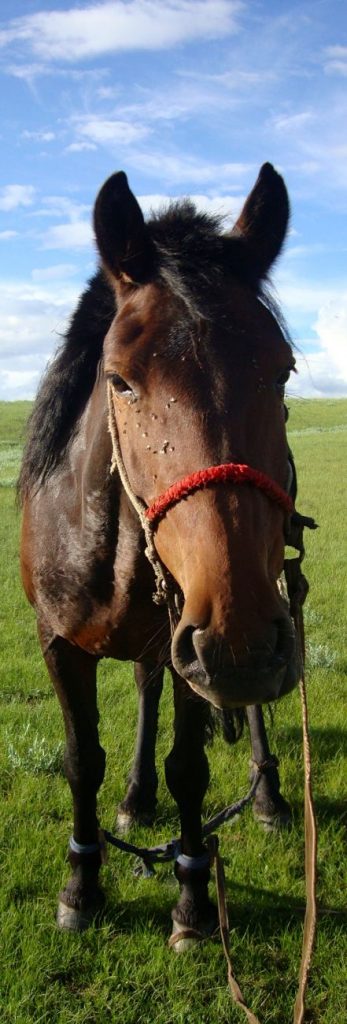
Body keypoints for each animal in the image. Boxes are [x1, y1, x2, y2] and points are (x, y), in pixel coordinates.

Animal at [19, 161, 300, 942]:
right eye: (119, 378)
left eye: (283, 371)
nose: (239, 643)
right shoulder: (58, 643)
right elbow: (81, 760)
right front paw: (82, 883)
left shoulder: (198, 647)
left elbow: (190, 769)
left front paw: (193, 896)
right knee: (145, 684)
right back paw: (136, 800)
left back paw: (266, 798)